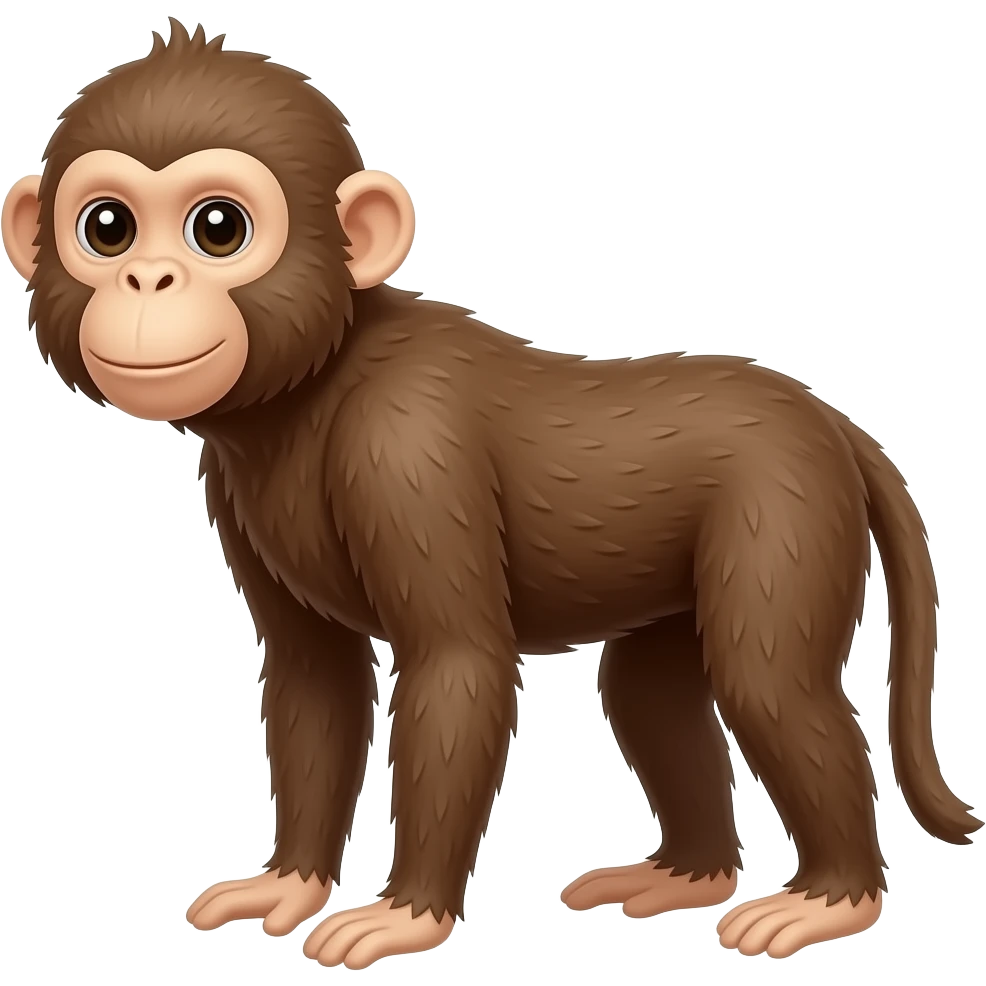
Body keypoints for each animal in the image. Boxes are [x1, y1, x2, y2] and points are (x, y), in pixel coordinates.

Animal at [1, 18, 978, 970]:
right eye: (108, 227)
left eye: (217, 228)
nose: (146, 279)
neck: (309, 389)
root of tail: (829, 420)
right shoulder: (235, 487)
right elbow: (315, 677)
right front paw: (288, 883)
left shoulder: (405, 449)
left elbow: (457, 663)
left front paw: (406, 914)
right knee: (649, 691)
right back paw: (688, 875)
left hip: (787, 504)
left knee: (770, 680)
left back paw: (833, 897)